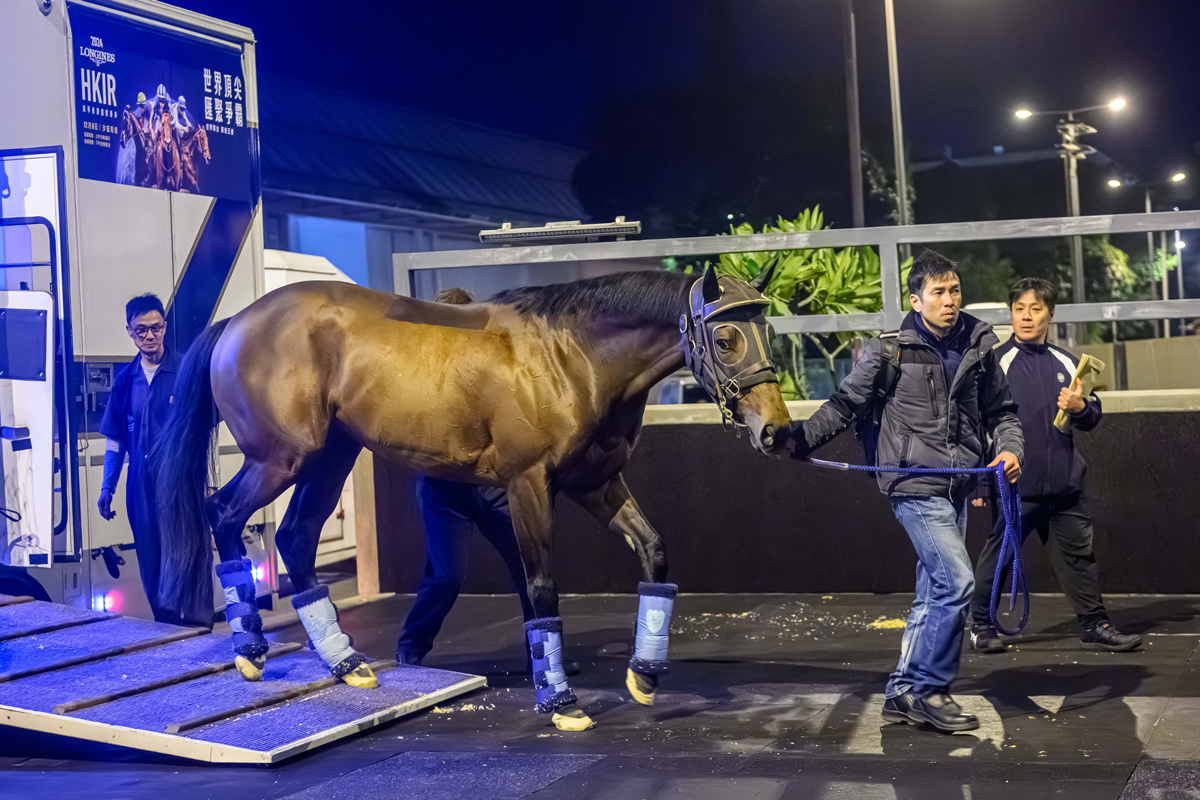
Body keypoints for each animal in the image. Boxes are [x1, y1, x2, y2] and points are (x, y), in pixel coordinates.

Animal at [152, 267, 787, 734]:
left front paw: (644, 675)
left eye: (771, 334)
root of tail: (238, 321)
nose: (776, 431)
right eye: (725, 338)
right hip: (281, 458)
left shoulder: (596, 485)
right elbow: (540, 586)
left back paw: (346, 663)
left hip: (328, 456)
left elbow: (653, 551)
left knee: (294, 536)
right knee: (225, 515)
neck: (571, 356)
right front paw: (561, 702)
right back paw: (250, 650)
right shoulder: (530, 485)